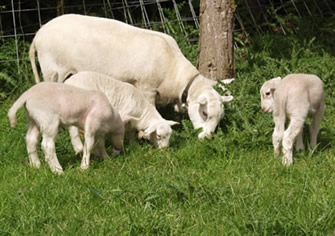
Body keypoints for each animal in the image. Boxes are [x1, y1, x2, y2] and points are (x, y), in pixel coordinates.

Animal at [29, 13, 234, 138]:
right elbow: (150, 110)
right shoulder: (146, 87)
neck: (175, 72)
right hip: (52, 70)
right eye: (205, 113)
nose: (207, 138)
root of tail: (37, 36)